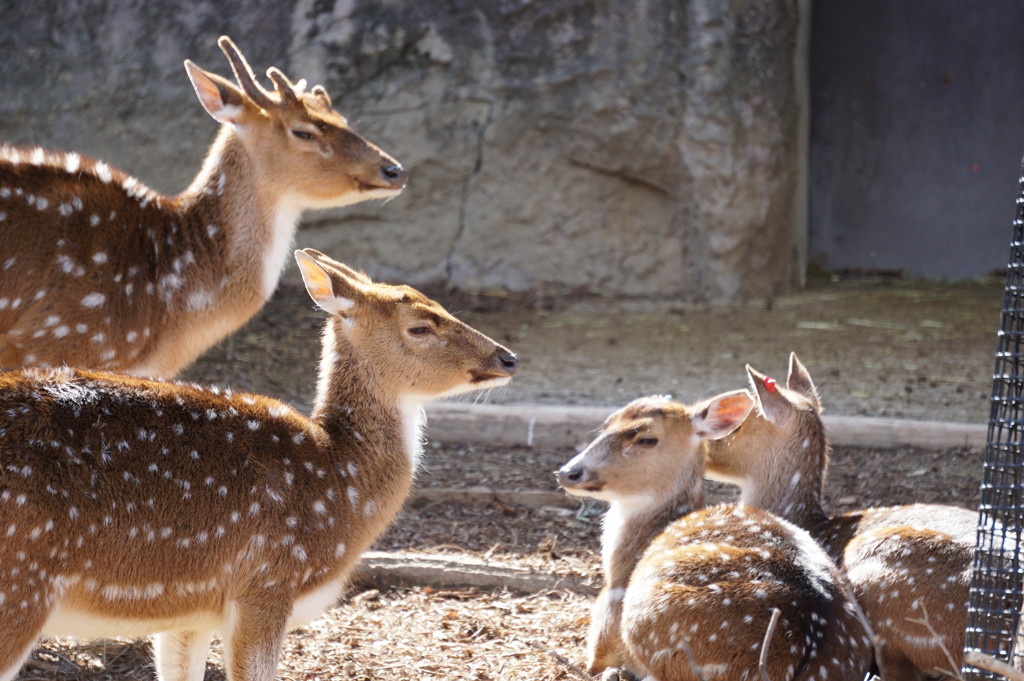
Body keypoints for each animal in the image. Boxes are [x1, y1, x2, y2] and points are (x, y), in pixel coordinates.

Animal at [0, 248, 516, 679]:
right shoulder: (267, 582)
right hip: (20, 584)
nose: (508, 357)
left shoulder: (188, 610)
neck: (339, 478)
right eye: (420, 327)